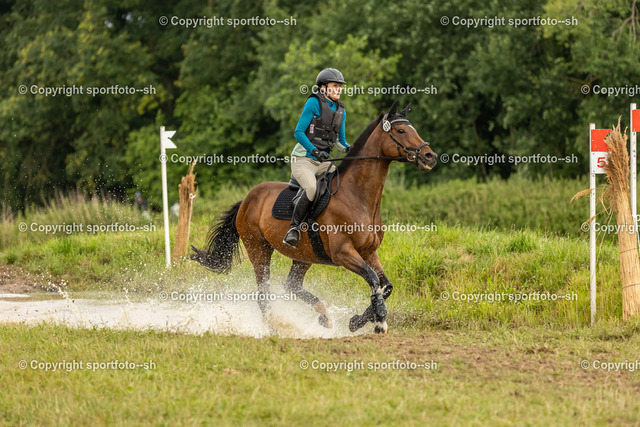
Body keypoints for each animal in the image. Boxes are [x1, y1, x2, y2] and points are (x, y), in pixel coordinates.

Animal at [191, 100, 437, 334]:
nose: (430, 156)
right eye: (401, 131)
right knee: (264, 294)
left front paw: (358, 321)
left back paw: (323, 315)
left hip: (303, 255)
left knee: (291, 285)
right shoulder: (343, 253)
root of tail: (247, 200)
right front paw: (378, 322)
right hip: (258, 249)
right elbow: (374, 280)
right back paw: (276, 327)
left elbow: (386, 286)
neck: (357, 197)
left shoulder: (368, 252)